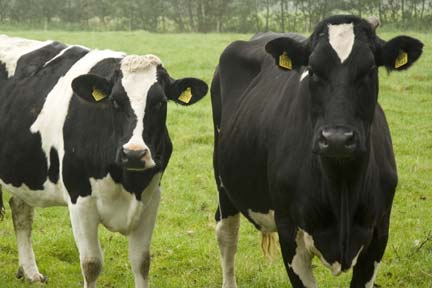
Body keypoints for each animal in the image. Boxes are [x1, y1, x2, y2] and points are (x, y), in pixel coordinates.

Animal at [0, 35, 208, 288]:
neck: (128, 182)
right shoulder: (80, 200)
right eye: (115, 101)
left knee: (21, 211)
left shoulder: (151, 199)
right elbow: (91, 264)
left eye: (160, 102)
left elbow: (142, 262)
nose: (134, 154)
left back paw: (30, 272)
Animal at [211, 15, 424, 288]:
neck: (342, 185)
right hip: (223, 181)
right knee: (227, 233)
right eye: (312, 70)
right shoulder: (289, 231)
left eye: (370, 69)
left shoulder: (379, 233)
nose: (336, 139)